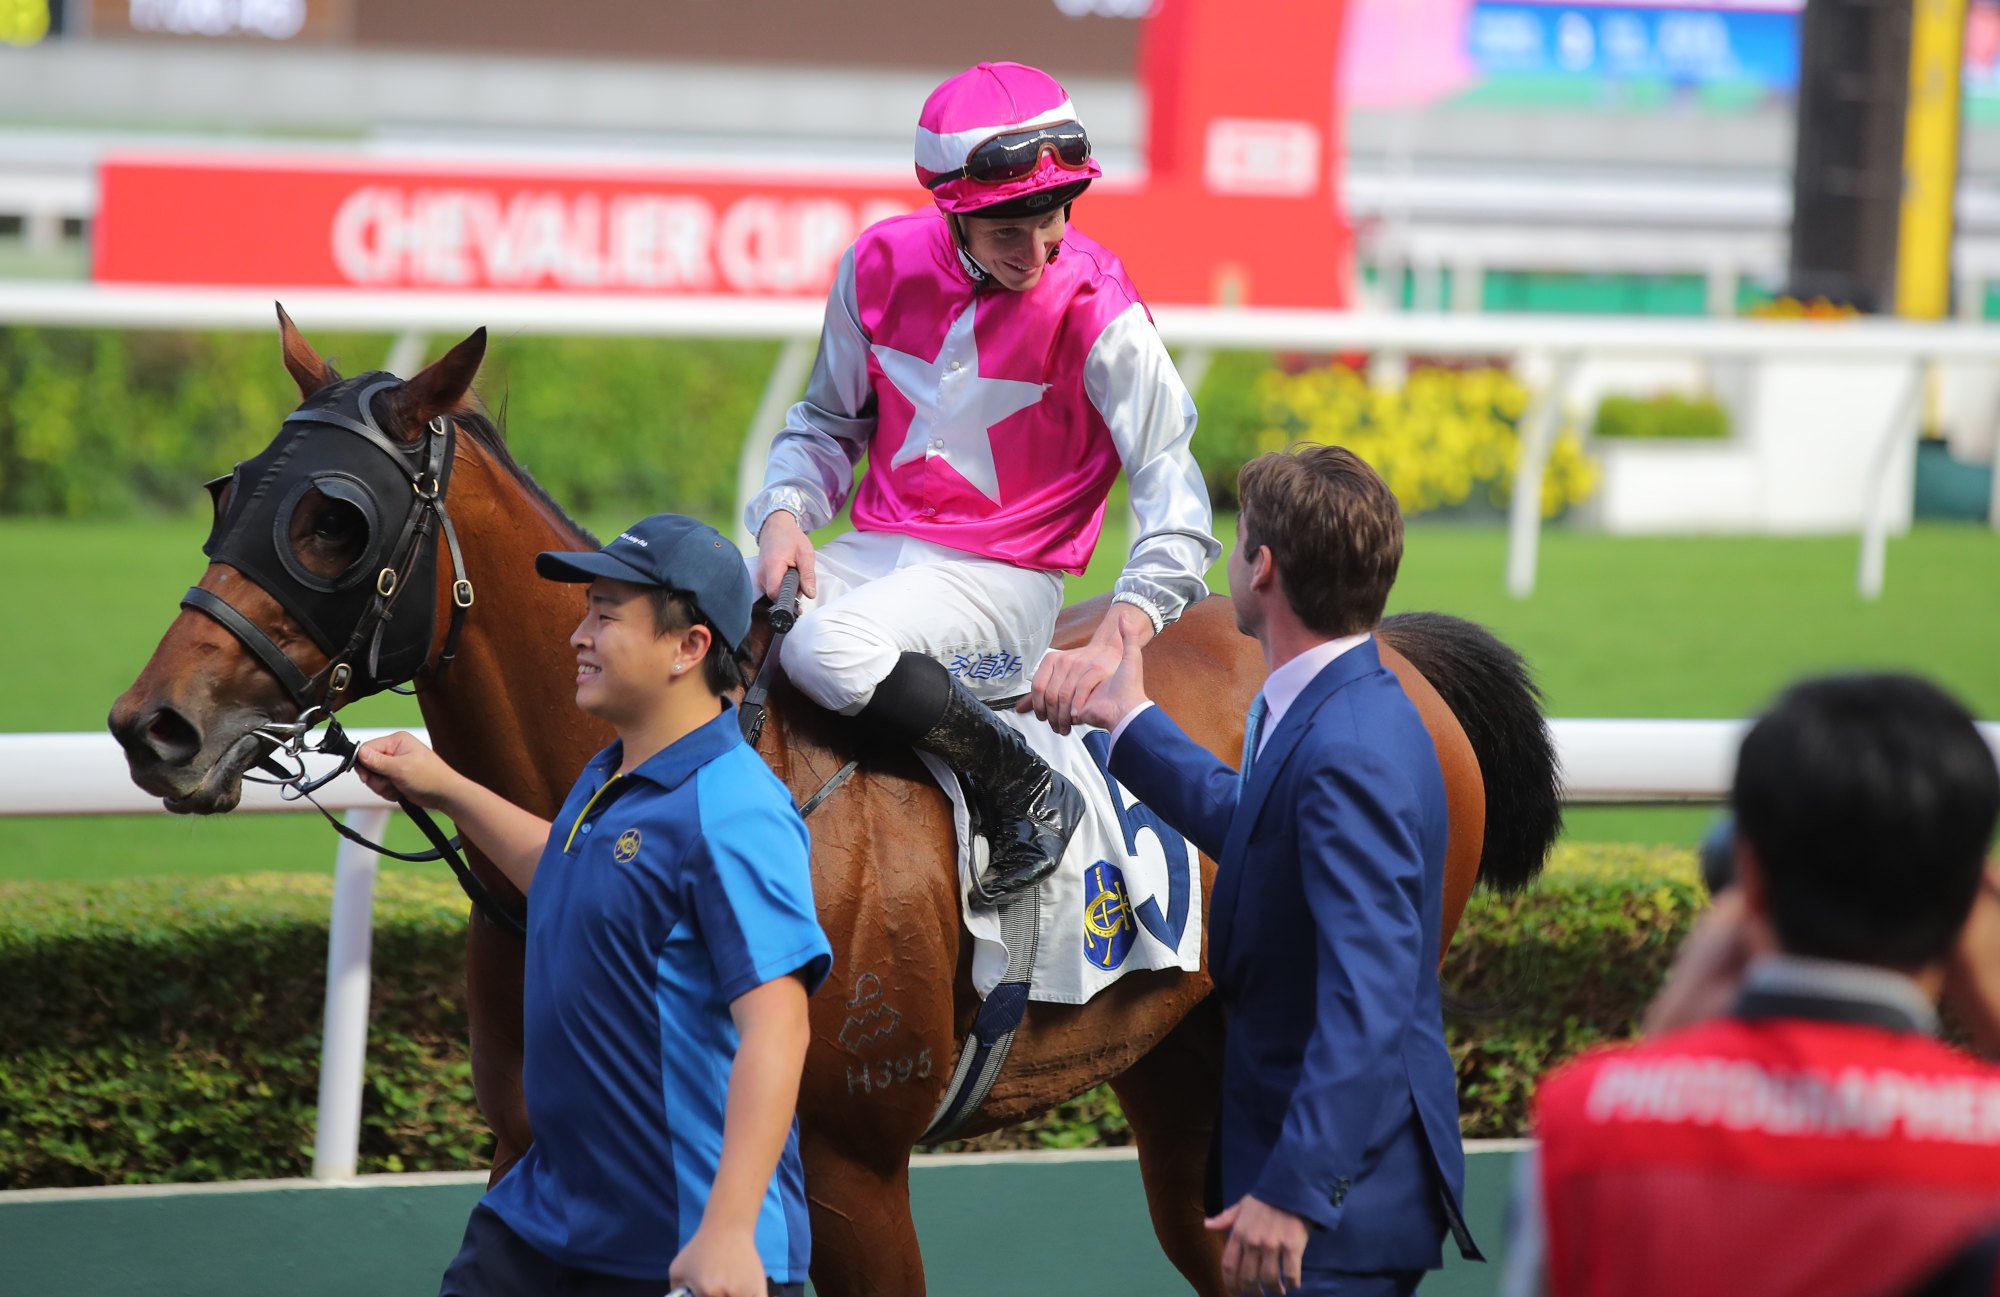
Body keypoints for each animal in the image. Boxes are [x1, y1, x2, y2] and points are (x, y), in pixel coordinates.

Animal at [109, 316, 1560, 1297]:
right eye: (229, 491)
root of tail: (1385, 646)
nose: (152, 725)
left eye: (334, 523)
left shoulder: (854, 1168)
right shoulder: (555, 1155)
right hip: (1186, 1072)